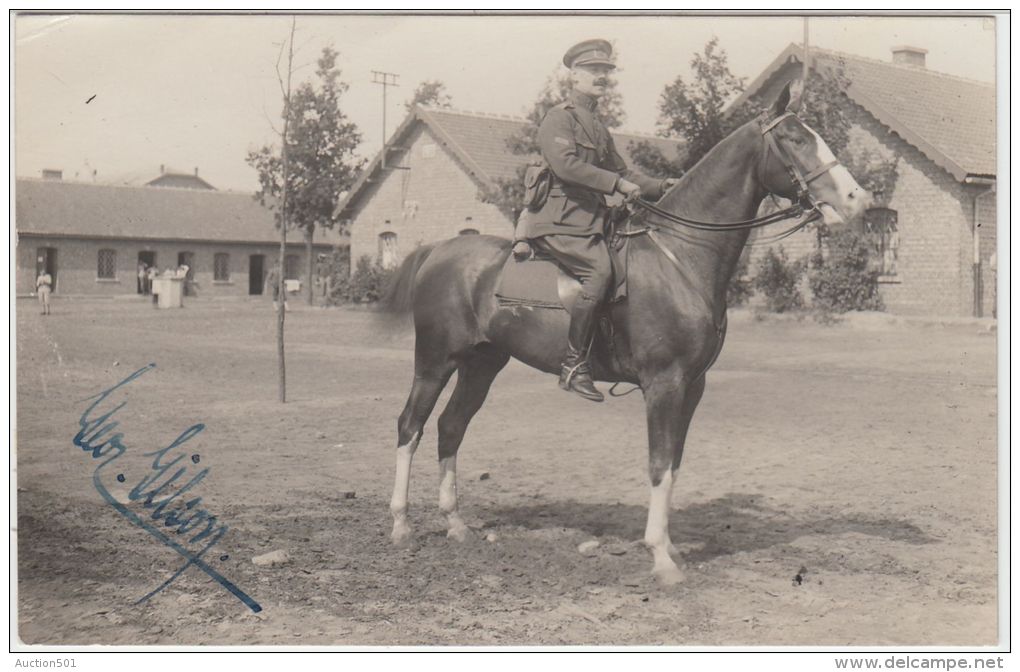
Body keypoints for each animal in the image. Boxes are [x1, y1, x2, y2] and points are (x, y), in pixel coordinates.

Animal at [379, 82, 864, 583]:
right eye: (795, 139)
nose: (856, 199)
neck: (680, 257)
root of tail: (439, 249)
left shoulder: (692, 387)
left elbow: (674, 464)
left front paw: (671, 547)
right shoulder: (664, 384)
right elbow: (658, 464)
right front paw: (661, 557)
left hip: (482, 364)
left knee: (451, 427)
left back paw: (455, 524)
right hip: (435, 361)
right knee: (410, 426)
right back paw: (401, 525)